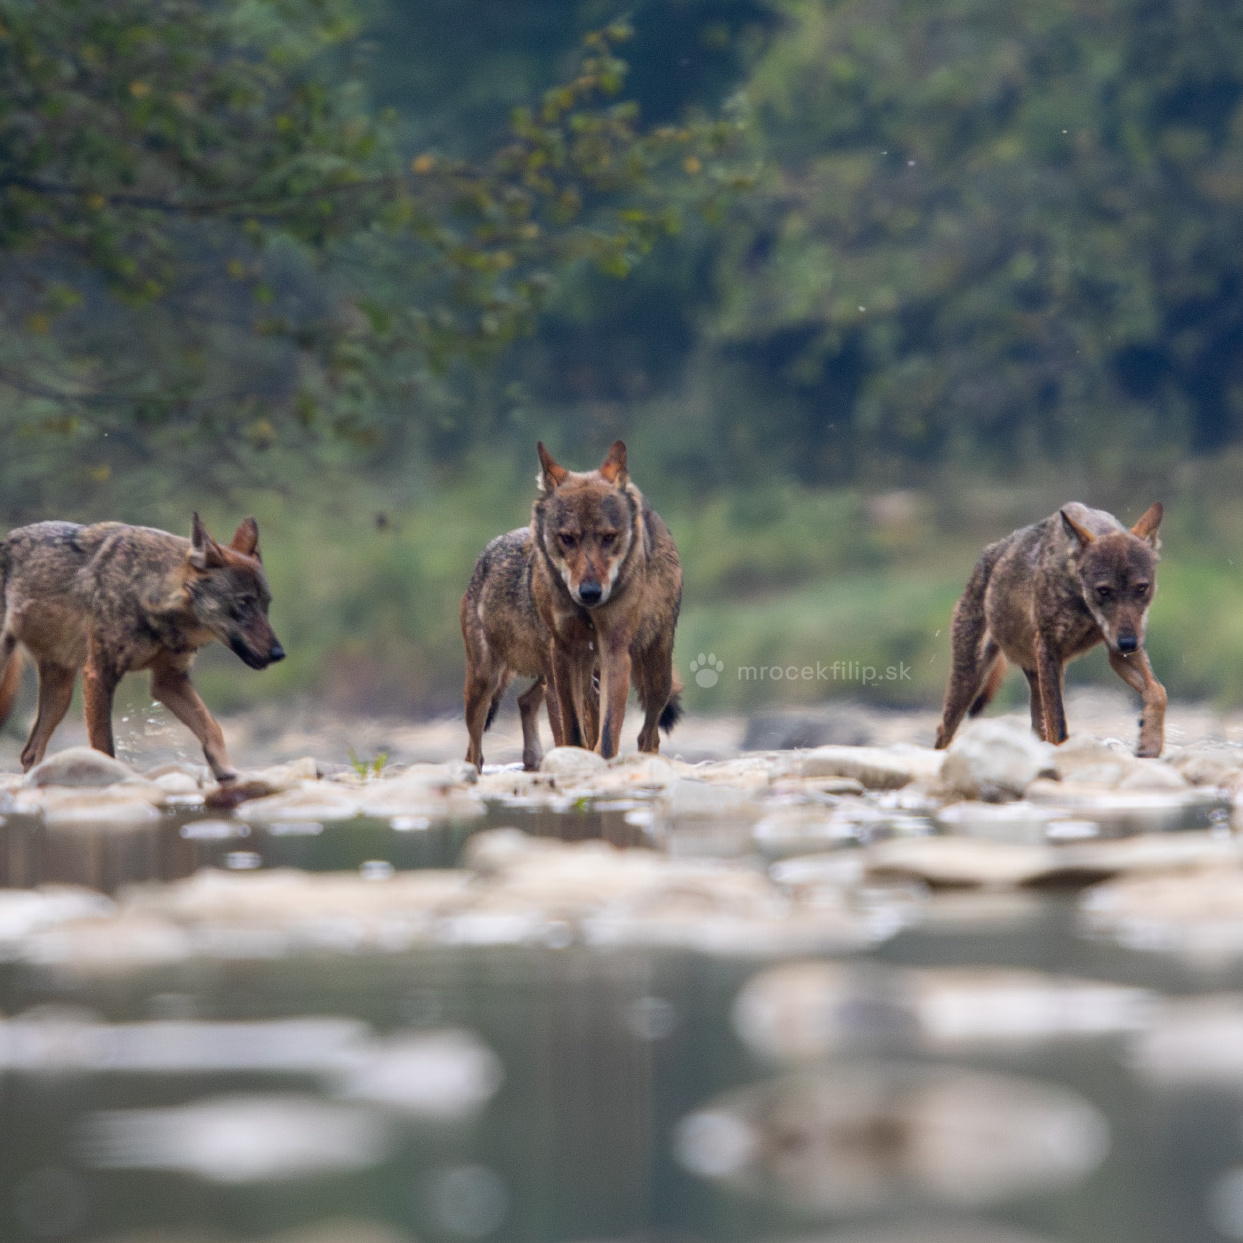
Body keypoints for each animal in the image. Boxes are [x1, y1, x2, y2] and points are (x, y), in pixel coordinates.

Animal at [0, 514, 284, 781]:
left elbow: (213, 729)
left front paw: (227, 775)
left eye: (266, 605)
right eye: (244, 603)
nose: (279, 654)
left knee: (30, 753)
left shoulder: (169, 681)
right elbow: (105, 749)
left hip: (61, 694)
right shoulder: (98, 675)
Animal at [530, 440, 683, 760]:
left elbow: (611, 728)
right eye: (567, 538)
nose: (590, 592)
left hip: (657, 671)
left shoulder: (615, 649)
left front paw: (603, 759)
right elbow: (574, 726)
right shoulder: (563, 652)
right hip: (588, 672)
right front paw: (577, 755)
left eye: (608, 537)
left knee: (649, 732)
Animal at [935, 501, 1166, 756]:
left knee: (1037, 728)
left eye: (1142, 588)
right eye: (1104, 591)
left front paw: (1150, 744)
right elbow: (1059, 725)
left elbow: (1158, 692)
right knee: (944, 730)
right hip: (970, 680)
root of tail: (988, 554)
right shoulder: (1049, 648)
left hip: (1036, 676)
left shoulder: (1117, 651)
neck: (1080, 599)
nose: (1128, 643)